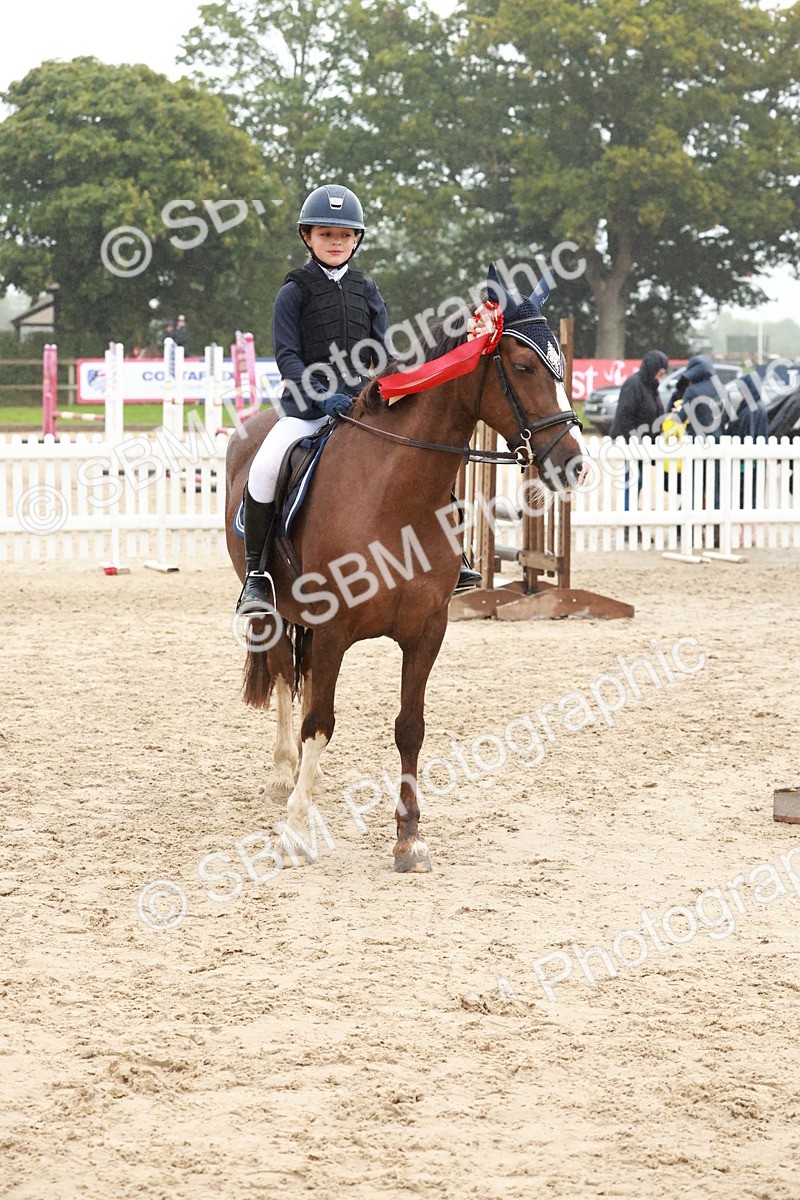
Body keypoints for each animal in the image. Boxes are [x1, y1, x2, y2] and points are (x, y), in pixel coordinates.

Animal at [225, 265, 588, 873]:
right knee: (281, 677)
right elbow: (319, 721)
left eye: (563, 368)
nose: (574, 463)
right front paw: (295, 832)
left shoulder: (427, 629)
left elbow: (409, 728)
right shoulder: (333, 629)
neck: (396, 496)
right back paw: (283, 776)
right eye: (523, 367)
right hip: (273, 609)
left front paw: (409, 838)